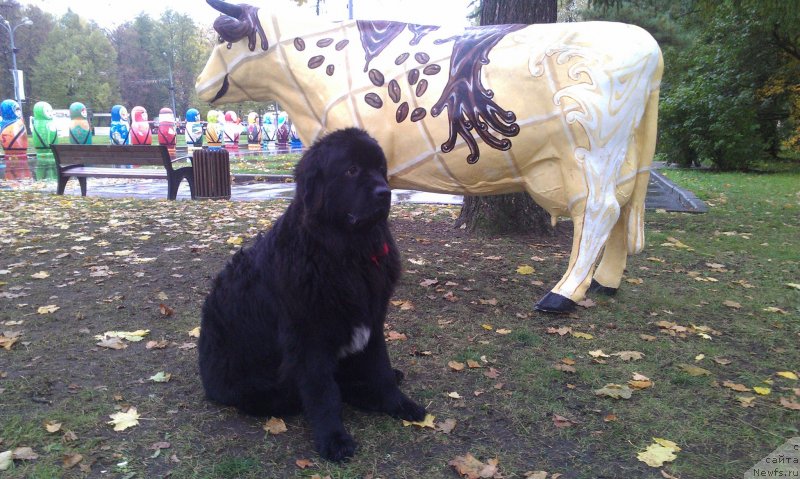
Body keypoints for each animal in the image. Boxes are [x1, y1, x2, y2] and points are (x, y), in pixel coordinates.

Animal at [198, 126, 428, 462]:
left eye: (380, 169)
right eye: (351, 170)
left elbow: (381, 368)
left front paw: (398, 403)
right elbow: (323, 391)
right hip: (259, 390)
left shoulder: (372, 320)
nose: (385, 193)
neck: (349, 253)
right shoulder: (309, 336)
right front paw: (334, 439)